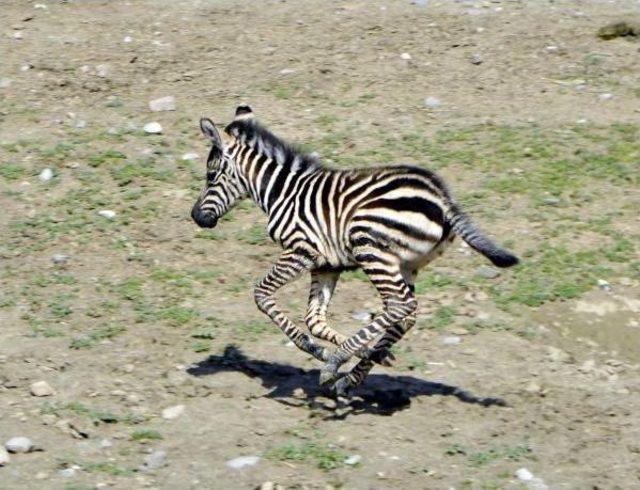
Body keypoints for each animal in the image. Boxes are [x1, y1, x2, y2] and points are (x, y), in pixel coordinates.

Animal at [191, 105, 520, 396]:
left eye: (210, 176)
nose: (196, 217)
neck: (282, 192)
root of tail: (442, 198)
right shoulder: (325, 265)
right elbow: (314, 320)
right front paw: (354, 353)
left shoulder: (301, 251)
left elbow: (262, 295)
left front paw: (326, 354)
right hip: (405, 264)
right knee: (406, 314)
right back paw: (354, 373)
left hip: (370, 248)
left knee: (400, 306)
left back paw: (339, 365)